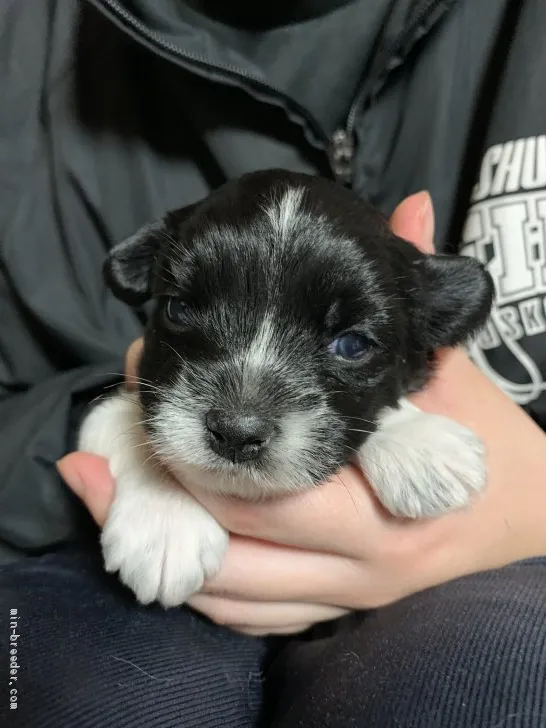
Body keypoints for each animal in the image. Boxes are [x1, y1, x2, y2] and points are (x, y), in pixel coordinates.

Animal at [77, 168, 492, 604]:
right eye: (178, 309)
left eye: (353, 344)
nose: (236, 433)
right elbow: (127, 422)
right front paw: (166, 521)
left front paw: (419, 442)